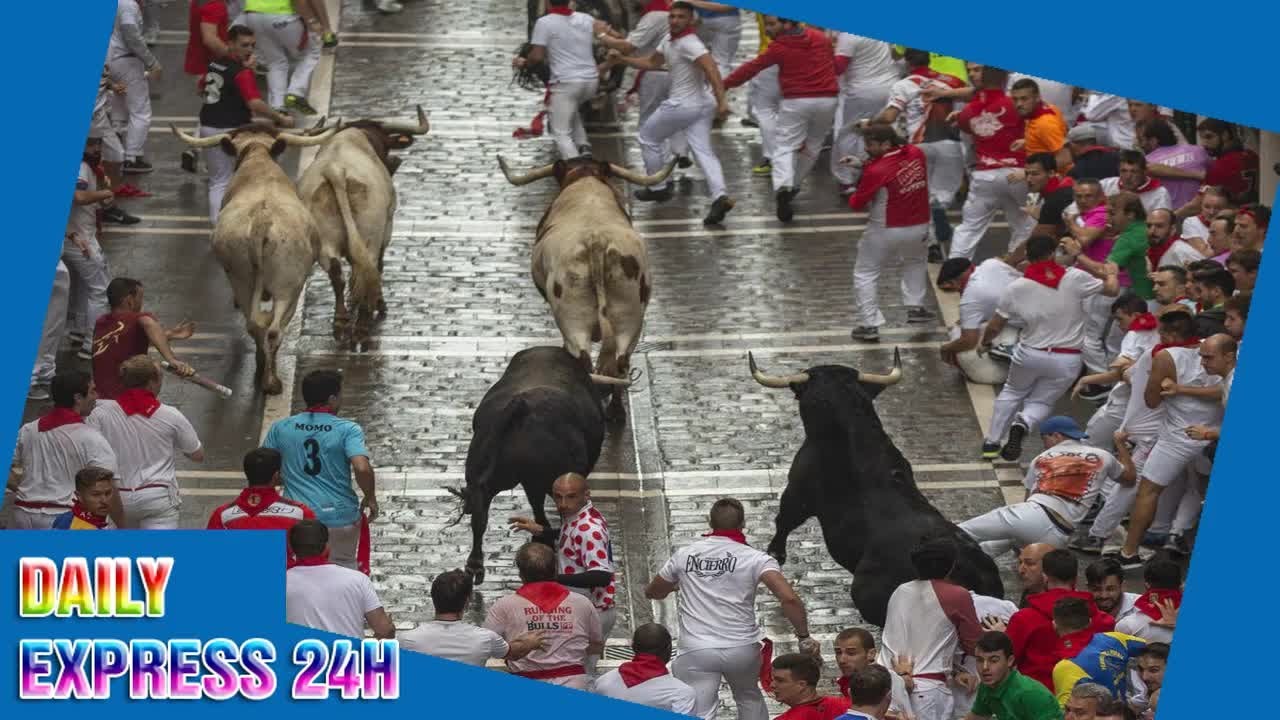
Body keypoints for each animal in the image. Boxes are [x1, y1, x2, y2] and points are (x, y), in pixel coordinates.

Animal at [172, 121, 337, 392]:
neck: (258, 158)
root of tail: (263, 219)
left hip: (241, 279)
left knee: (254, 324)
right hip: (288, 286)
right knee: (274, 328)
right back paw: (271, 380)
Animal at [294, 106, 430, 351]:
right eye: (386, 145)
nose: (393, 161)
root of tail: (336, 170)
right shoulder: (387, 228)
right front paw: (378, 305)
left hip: (324, 241)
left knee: (337, 273)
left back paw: (341, 323)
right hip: (372, 236)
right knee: (370, 270)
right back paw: (362, 328)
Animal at [494, 154, 675, 417]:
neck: (586, 182)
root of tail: (597, 241)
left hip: (573, 320)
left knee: (584, 360)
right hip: (630, 318)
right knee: (620, 362)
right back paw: (616, 411)